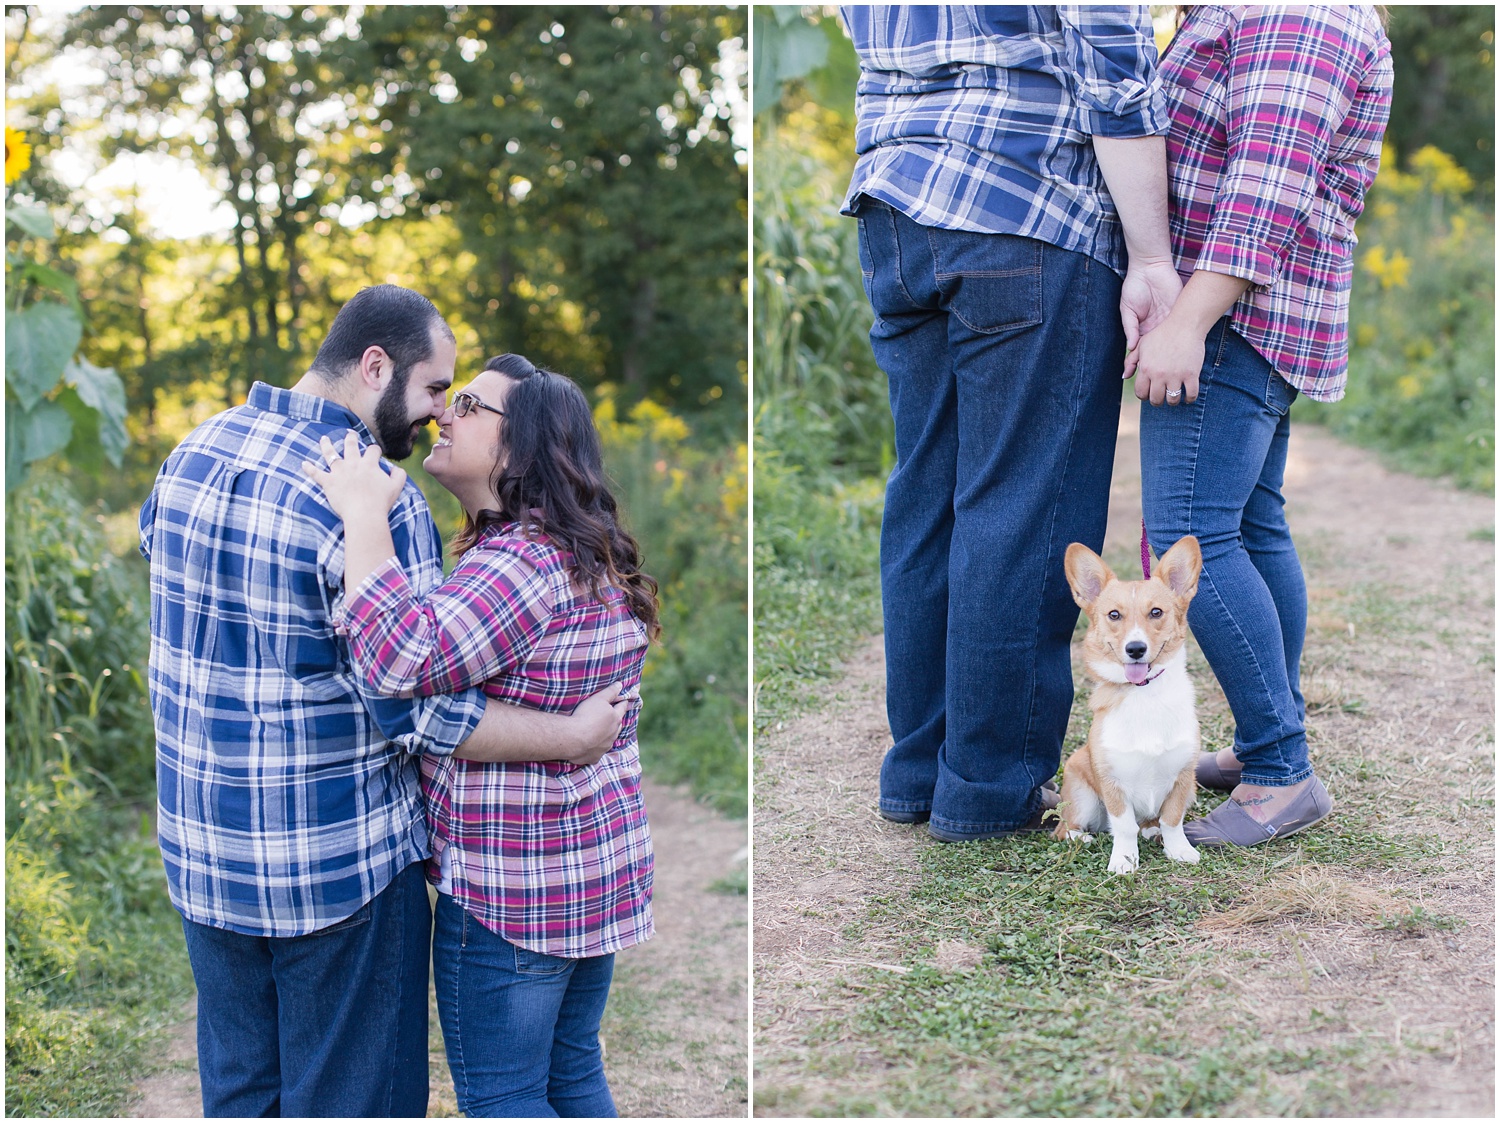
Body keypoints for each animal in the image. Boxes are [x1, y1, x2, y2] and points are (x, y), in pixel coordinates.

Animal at [1056, 536, 1206, 875]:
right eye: (1114, 615)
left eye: (1156, 612)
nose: (1135, 649)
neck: (1144, 694)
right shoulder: (1112, 783)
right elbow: (1124, 826)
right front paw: (1124, 860)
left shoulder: (1183, 777)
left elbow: (1172, 820)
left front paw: (1178, 850)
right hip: (1081, 792)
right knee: (1063, 827)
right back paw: (1083, 837)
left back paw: (1151, 830)